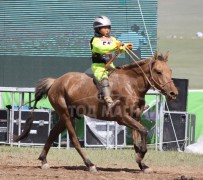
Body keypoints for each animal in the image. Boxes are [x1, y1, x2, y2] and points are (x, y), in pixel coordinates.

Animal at [13, 50, 178, 173]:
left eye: (170, 70)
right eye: (158, 71)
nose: (173, 93)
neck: (131, 85)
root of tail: (56, 81)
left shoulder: (135, 117)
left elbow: (138, 140)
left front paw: (142, 164)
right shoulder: (122, 118)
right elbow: (143, 131)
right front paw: (140, 157)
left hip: (67, 115)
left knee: (52, 133)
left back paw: (43, 160)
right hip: (65, 115)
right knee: (74, 140)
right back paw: (90, 164)